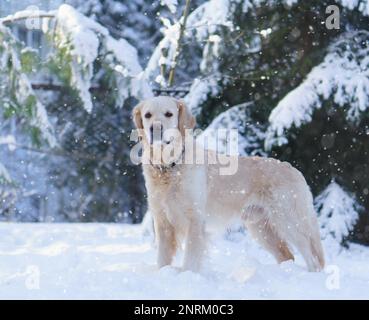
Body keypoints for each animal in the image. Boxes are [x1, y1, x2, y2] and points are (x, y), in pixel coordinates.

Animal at [132, 95, 324, 272]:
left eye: (169, 114)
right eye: (147, 115)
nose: (155, 128)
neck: (169, 166)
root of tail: (294, 169)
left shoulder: (195, 220)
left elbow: (191, 260)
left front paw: (187, 275)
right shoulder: (162, 221)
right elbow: (162, 259)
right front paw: (163, 273)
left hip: (289, 220)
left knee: (312, 258)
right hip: (261, 228)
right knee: (287, 255)